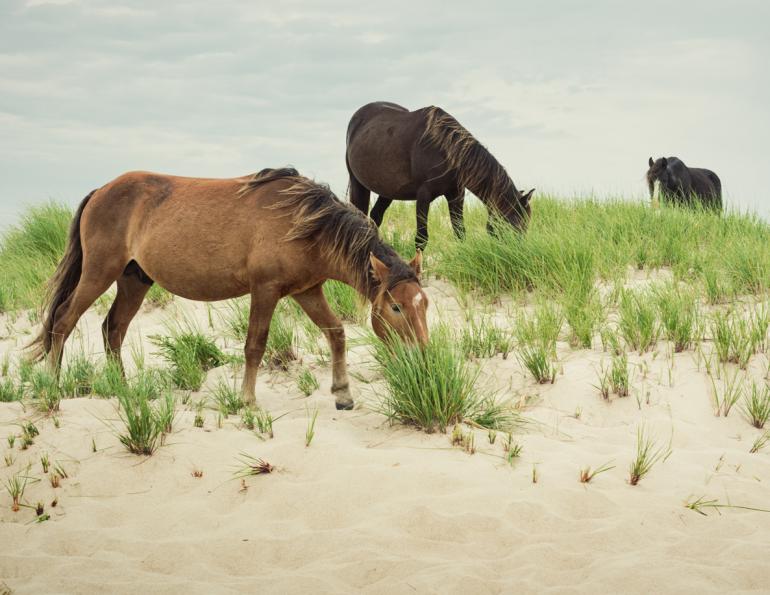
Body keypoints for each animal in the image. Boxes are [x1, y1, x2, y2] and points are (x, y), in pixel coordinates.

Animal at [30, 167, 428, 410]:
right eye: (396, 307)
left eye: (424, 305)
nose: (423, 357)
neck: (304, 223)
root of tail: (101, 191)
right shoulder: (265, 290)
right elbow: (255, 345)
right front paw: (248, 401)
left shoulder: (307, 290)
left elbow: (335, 333)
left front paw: (342, 394)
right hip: (99, 273)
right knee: (63, 322)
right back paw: (53, 389)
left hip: (133, 281)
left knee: (113, 329)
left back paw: (124, 391)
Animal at [345, 101, 535, 250]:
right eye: (513, 225)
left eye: (526, 225)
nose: (517, 254)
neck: (445, 150)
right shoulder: (423, 196)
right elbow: (421, 238)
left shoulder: (456, 195)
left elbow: (460, 232)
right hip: (358, 184)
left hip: (388, 190)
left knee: (375, 216)